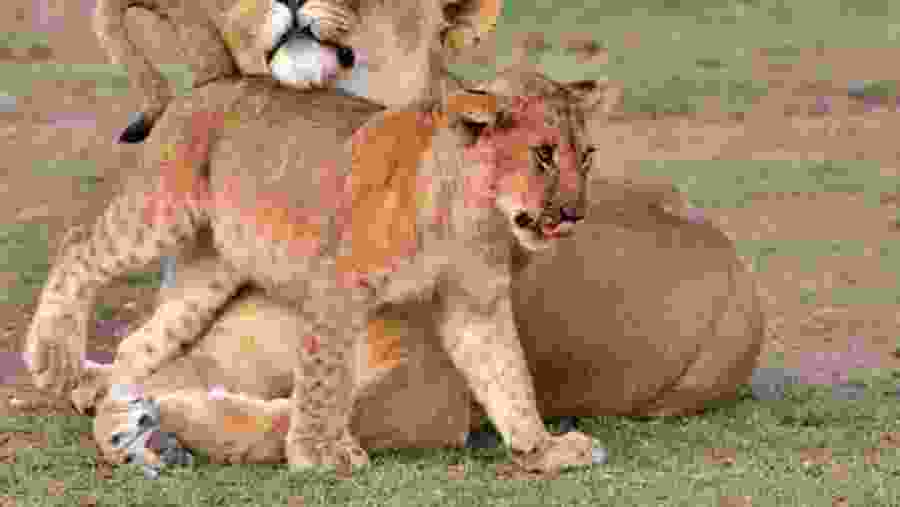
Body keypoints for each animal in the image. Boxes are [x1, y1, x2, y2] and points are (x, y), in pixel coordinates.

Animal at [25, 67, 611, 472]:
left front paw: (542, 449)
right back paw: (53, 360)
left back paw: (123, 423)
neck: (477, 218)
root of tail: (197, 90)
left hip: (208, 274)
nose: (576, 214)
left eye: (586, 156)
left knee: (140, 342)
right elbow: (325, 376)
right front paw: (318, 452)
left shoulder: (475, 305)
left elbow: (508, 377)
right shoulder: (339, 286)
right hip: (160, 212)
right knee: (79, 247)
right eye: (542, 155)